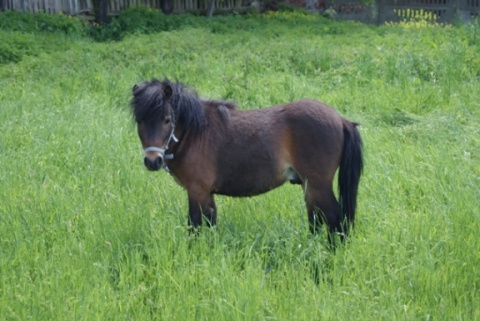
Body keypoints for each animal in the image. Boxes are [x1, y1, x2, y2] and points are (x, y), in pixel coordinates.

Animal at [131, 79, 364, 241]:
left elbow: (195, 225)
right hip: (310, 187)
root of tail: (341, 120)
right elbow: (210, 223)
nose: (153, 161)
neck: (196, 133)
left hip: (318, 185)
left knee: (335, 220)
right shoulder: (206, 193)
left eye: (167, 120)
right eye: (140, 121)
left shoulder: (197, 191)